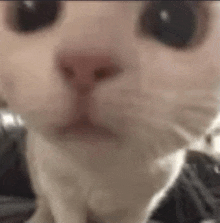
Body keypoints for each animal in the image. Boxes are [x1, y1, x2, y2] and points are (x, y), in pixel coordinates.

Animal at [0, 0, 220, 222]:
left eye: (177, 19)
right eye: (30, 10)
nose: (84, 62)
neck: (101, 174)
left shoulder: (142, 205)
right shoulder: (62, 194)